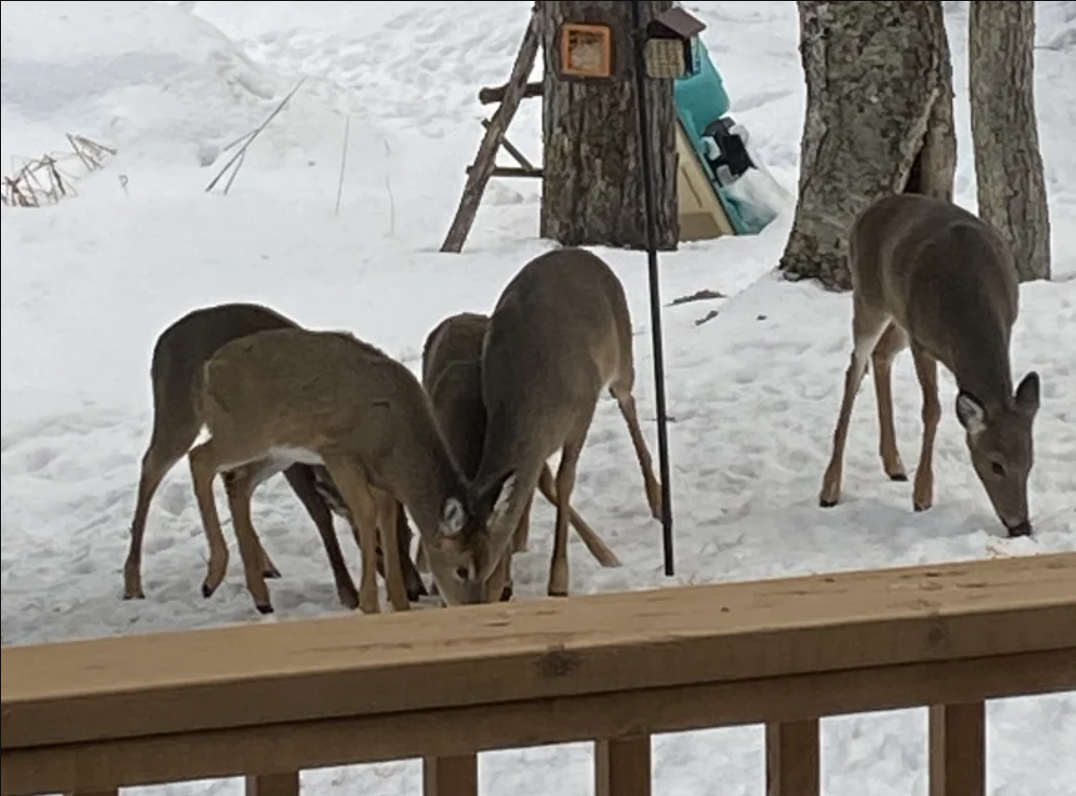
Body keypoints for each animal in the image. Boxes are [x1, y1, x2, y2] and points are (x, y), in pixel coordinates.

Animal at [124, 302, 426, 611]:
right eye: (375, 548)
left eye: (409, 535)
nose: (417, 591)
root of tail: (163, 340)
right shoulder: (298, 465)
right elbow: (321, 517)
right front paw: (349, 594)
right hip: (183, 415)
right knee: (158, 466)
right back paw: (136, 583)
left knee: (226, 476)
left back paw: (260, 571)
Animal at [193, 325, 515, 613]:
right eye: (461, 569)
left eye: (489, 562)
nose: (473, 606)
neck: (394, 442)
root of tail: (210, 367)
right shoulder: (339, 452)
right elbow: (366, 513)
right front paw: (369, 603)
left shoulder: (380, 478)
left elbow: (386, 516)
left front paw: (400, 603)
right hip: (245, 432)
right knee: (201, 458)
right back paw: (212, 578)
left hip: (278, 451)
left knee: (238, 482)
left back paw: (260, 596)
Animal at [819, 193, 1041, 537]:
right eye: (995, 464)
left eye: (1030, 462)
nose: (1022, 526)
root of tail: (869, 209)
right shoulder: (922, 342)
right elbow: (932, 410)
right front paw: (922, 496)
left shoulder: (1008, 324)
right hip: (868, 298)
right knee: (855, 367)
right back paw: (830, 488)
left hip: (898, 316)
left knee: (881, 355)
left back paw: (894, 465)